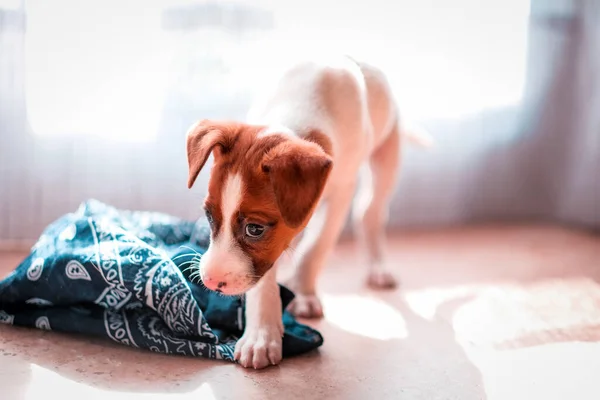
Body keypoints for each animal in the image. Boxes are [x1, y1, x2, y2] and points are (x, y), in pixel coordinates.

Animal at [188, 55, 432, 368]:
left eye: (254, 229)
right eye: (209, 217)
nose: (209, 281)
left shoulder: (340, 192)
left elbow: (316, 248)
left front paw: (302, 293)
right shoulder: (278, 239)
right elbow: (266, 277)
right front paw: (261, 333)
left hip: (387, 157)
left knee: (369, 213)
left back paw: (377, 267)